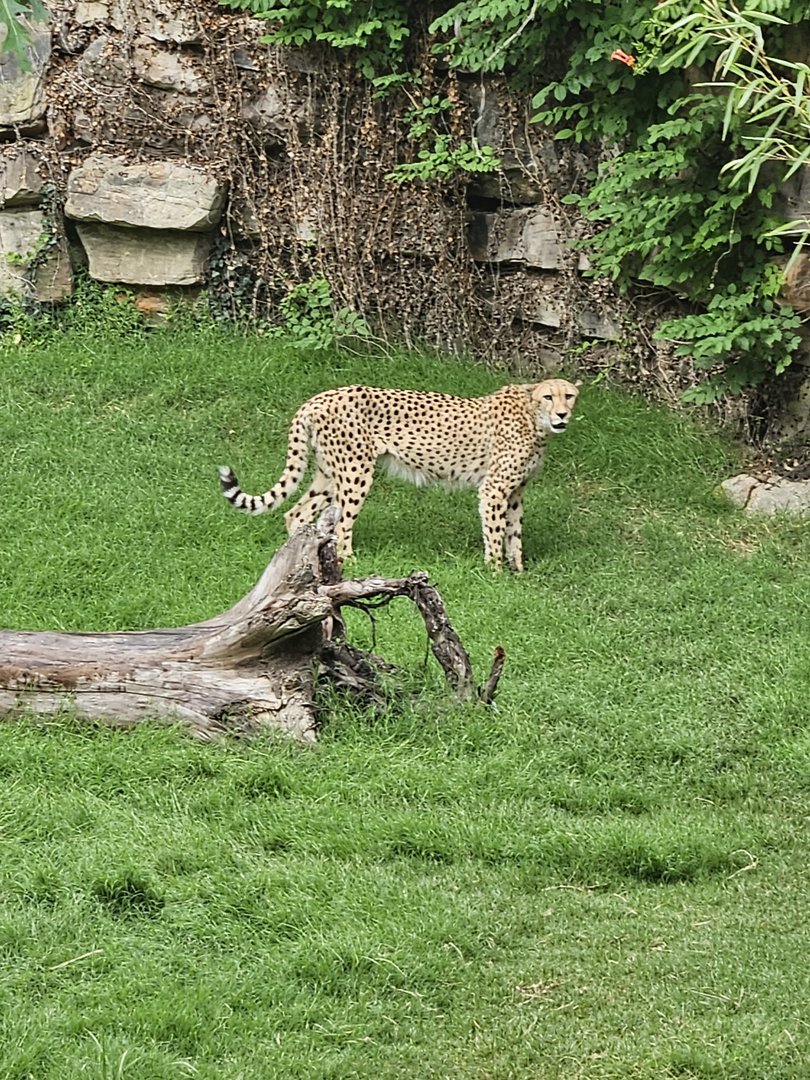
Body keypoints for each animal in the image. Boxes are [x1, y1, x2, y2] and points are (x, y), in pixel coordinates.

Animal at [219, 378, 580, 572]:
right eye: (549, 396)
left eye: (570, 395)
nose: (563, 414)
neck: (534, 417)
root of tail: (319, 397)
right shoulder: (494, 489)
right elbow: (495, 532)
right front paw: (495, 573)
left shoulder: (515, 491)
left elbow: (514, 534)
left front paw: (518, 571)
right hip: (355, 472)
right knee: (342, 522)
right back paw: (347, 560)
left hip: (329, 473)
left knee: (296, 513)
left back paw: (304, 561)